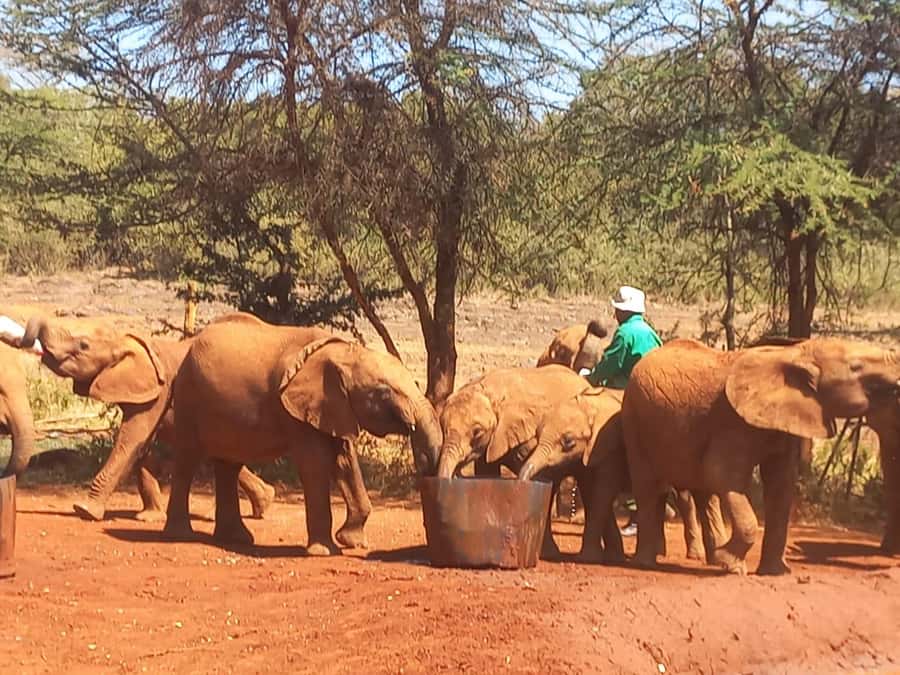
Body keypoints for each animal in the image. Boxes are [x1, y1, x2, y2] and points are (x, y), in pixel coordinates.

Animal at [14, 314, 276, 522]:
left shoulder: (161, 389)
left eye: (84, 345)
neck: (125, 339)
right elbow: (140, 444)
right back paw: (263, 505)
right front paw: (149, 517)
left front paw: (84, 510)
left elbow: (131, 438)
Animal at [166, 322, 443, 555]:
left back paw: (236, 538)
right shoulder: (296, 408)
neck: (344, 353)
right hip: (189, 398)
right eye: (384, 392)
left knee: (228, 464)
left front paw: (353, 542)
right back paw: (181, 536)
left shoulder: (333, 406)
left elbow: (344, 460)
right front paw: (326, 551)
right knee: (188, 459)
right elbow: (316, 463)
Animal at [623, 337, 900, 575]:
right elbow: (721, 475)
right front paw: (732, 566)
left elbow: (781, 483)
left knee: (701, 493)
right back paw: (647, 563)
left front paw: (775, 573)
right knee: (648, 487)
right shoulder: (732, 422)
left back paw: (709, 560)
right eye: (856, 367)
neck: (795, 353)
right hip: (634, 418)